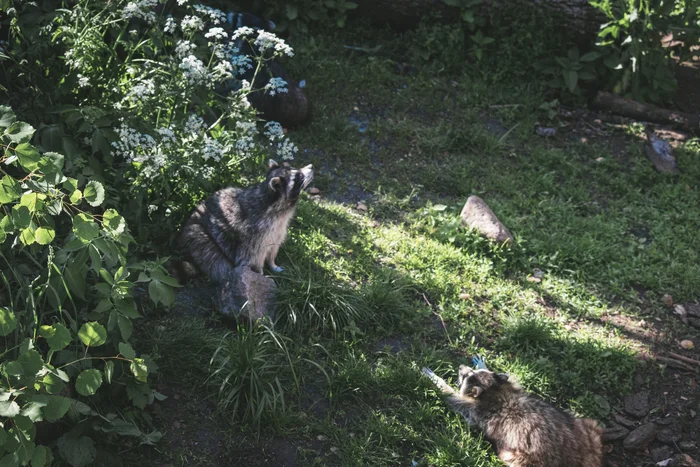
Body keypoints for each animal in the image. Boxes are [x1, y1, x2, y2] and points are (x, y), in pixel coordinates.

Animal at [174, 161, 316, 286]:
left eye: (294, 168)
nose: (311, 166)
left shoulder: (278, 230)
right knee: (217, 262)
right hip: (198, 237)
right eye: (299, 176)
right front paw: (260, 276)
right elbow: (252, 258)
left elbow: (273, 248)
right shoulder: (255, 233)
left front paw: (273, 264)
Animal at [424, 364, 604, 467]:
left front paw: (433, 377)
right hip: (587, 429)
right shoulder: (511, 387)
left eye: (467, 376)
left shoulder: (475, 409)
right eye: (472, 370)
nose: (461, 366)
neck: (494, 392)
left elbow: (450, 396)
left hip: (523, 459)